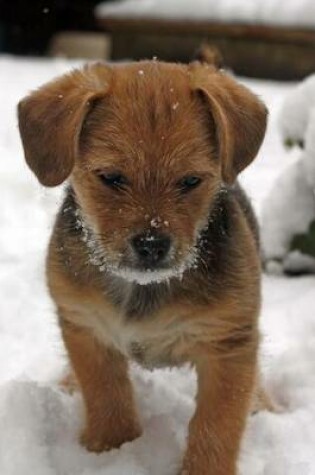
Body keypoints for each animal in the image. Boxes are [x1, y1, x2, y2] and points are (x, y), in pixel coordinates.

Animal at [18, 60, 268, 475]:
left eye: (191, 181)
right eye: (111, 178)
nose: (152, 245)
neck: (143, 288)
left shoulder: (228, 342)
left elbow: (218, 422)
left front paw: (204, 468)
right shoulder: (86, 328)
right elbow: (106, 396)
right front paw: (111, 451)